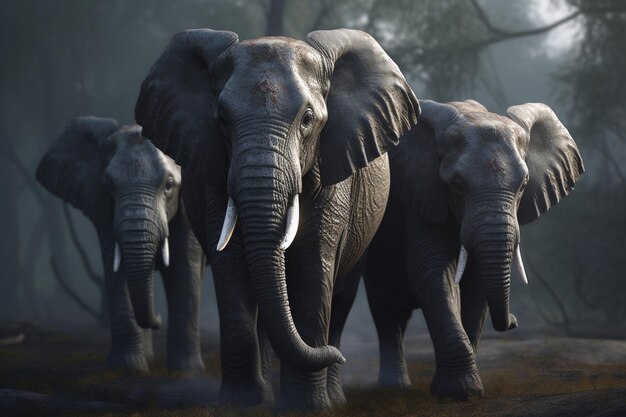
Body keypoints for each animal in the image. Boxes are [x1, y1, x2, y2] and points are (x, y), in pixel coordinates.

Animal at [36, 117, 205, 374]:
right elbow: (117, 269)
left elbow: (184, 265)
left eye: (169, 185)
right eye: (109, 185)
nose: (158, 318)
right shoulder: (104, 208)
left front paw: (187, 371)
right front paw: (128, 368)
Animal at [135, 29, 420, 410]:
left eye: (308, 119)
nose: (336, 355)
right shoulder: (215, 176)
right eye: (222, 119)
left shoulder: (332, 174)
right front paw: (240, 404)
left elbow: (315, 267)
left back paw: (334, 394)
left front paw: (308, 408)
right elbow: (231, 269)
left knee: (341, 298)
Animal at [364, 98, 584, 400]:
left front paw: (467, 387)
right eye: (458, 185)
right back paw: (394, 387)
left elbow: (478, 285)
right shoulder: (424, 192)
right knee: (386, 308)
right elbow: (431, 270)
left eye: (523, 186)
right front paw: (459, 392)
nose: (514, 320)